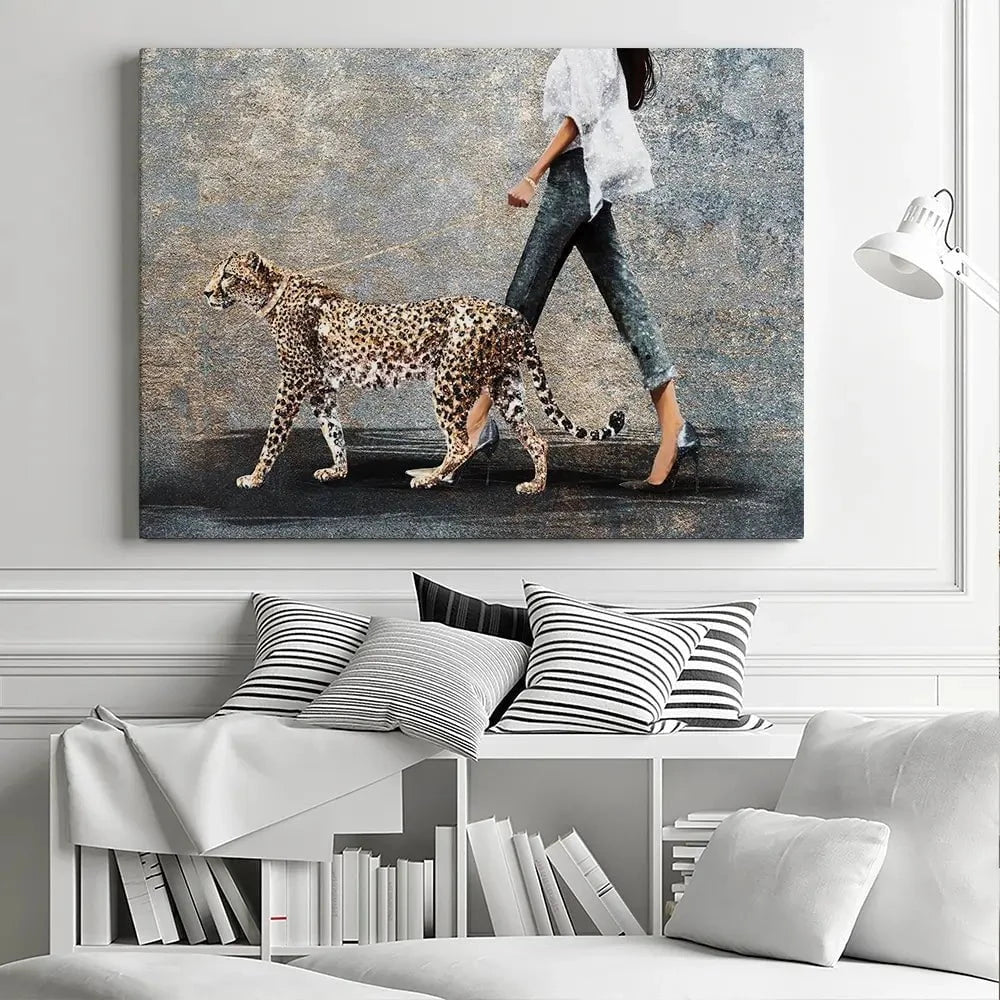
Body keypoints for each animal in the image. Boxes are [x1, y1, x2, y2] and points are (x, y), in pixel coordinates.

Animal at [203, 251, 626, 495]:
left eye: (227, 275)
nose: (207, 292)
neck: (271, 295)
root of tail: (511, 314)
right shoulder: (321, 389)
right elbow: (333, 431)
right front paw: (339, 470)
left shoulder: (293, 382)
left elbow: (274, 436)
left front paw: (255, 477)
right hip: (506, 387)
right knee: (536, 439)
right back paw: (536, 484)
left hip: (448, 383)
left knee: (461, 441)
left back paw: (431, 477)